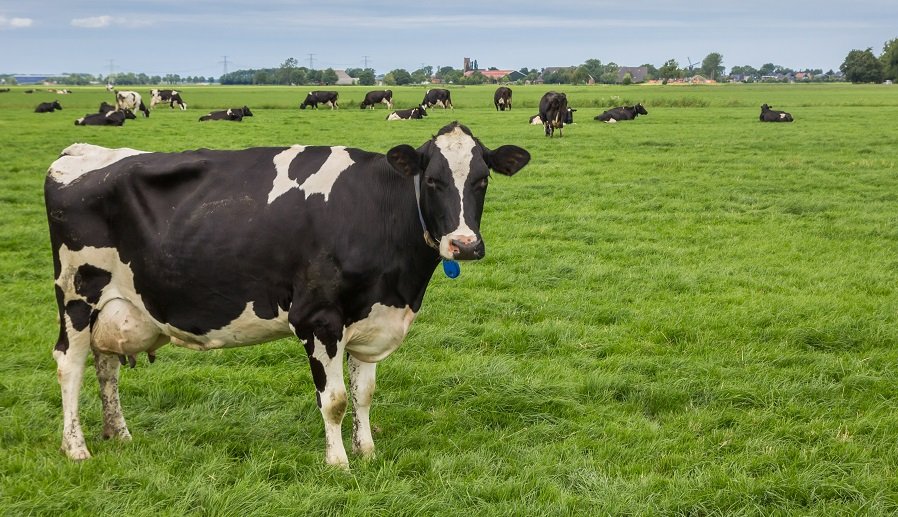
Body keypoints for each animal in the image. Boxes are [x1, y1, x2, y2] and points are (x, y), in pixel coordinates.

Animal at [45, 122, 528, 468]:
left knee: (106, 365)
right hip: (76, 294)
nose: (464, 245)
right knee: (70, 363)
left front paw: (367, 451)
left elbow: (364, 394)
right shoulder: (318, 318)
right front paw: (338, 464)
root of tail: (81, 151)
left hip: (114, 305)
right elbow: (334, 400)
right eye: (431, 181)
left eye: (482, 180)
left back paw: (119, 434)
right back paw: (76, 447)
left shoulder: (371, 318)